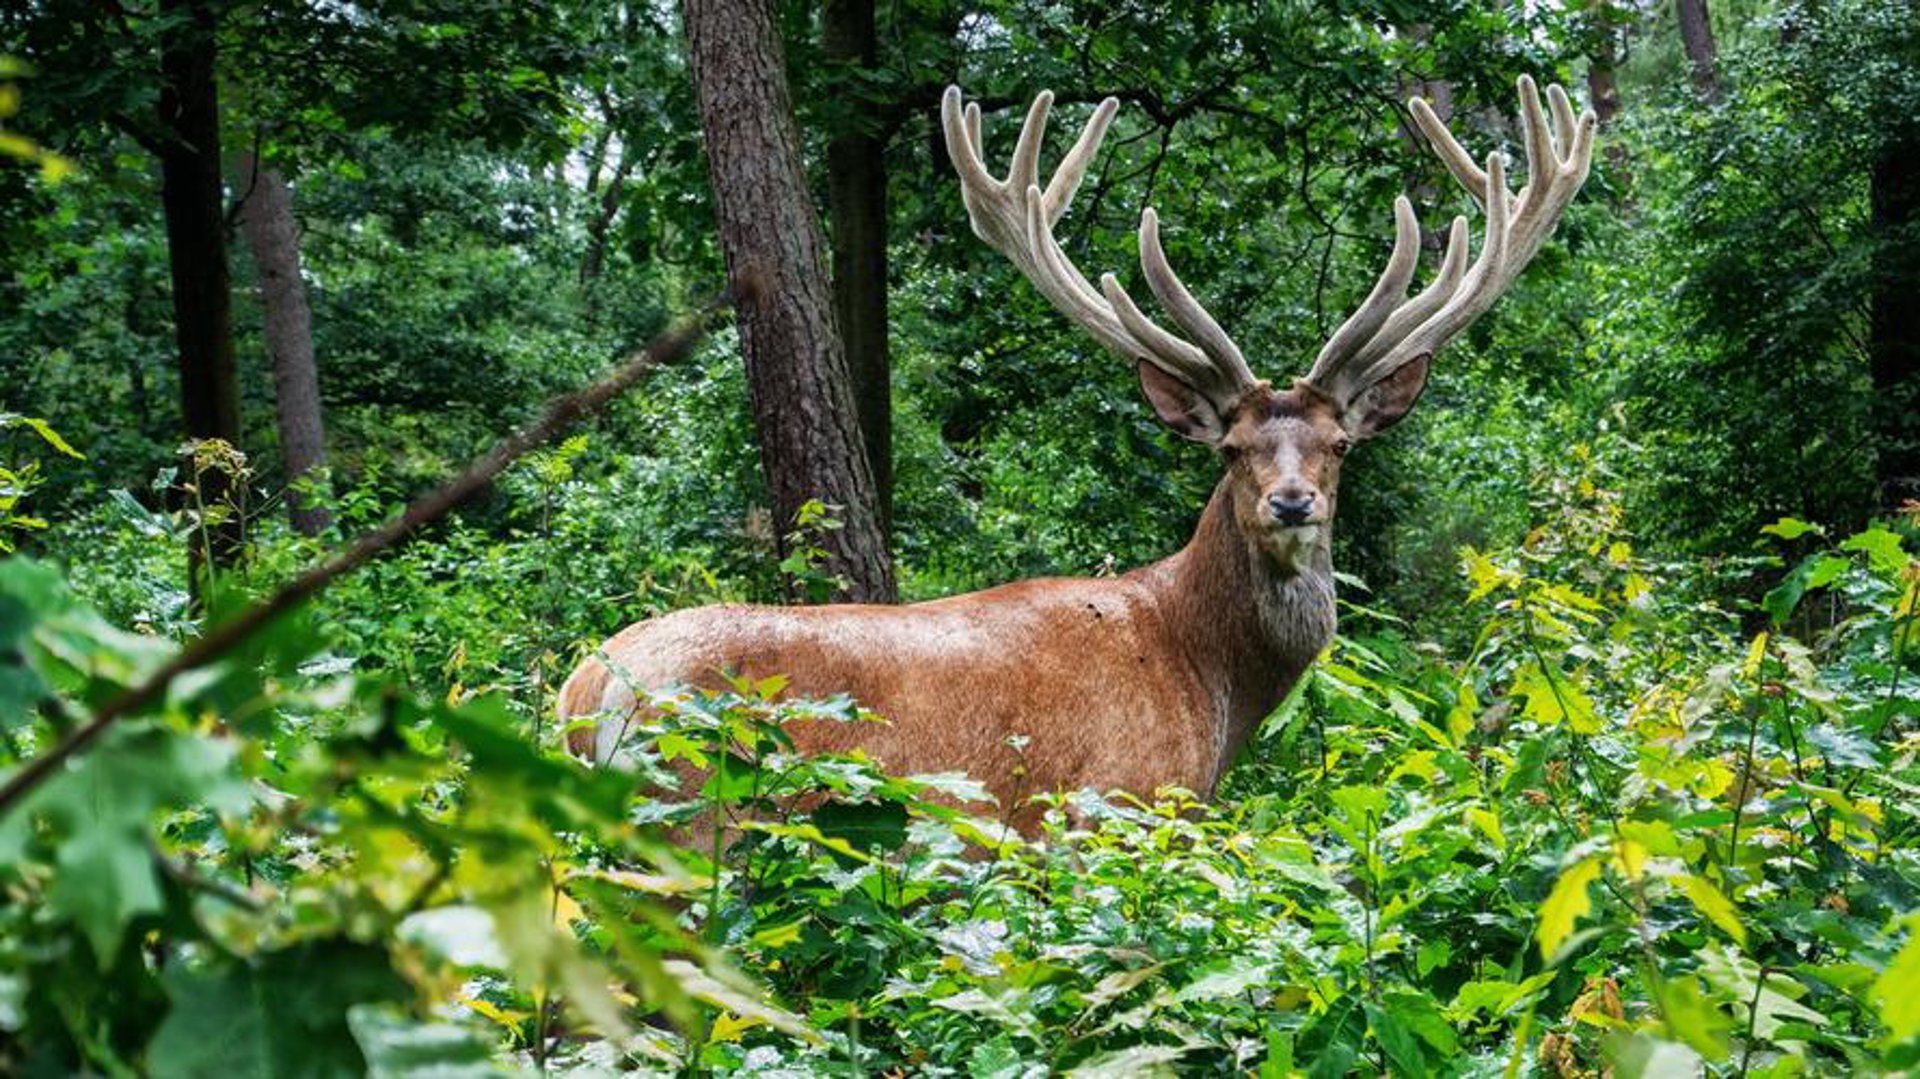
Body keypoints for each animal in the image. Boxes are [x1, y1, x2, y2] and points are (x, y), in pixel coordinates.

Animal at [560, 77, 1594, 831]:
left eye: (1340, 443)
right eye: (1231, 448)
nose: (1294, 502)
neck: (1205, 678)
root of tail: (578, 701)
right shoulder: (1111, 807)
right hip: (693, 821)